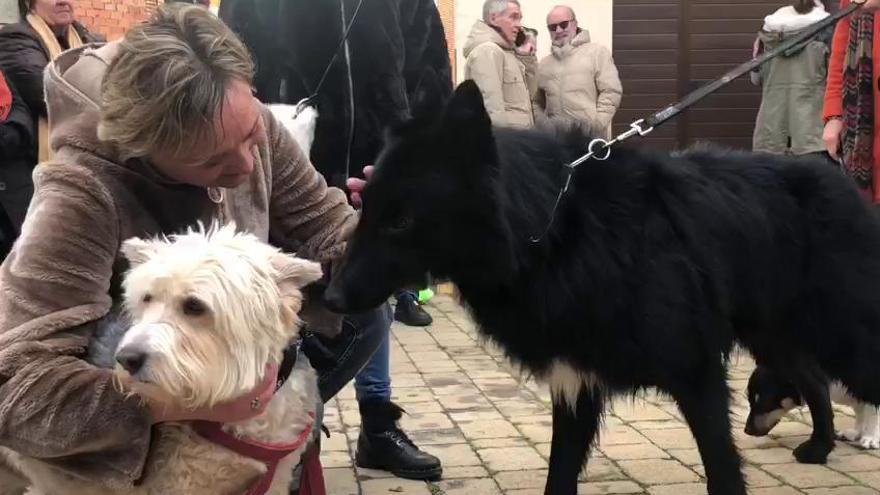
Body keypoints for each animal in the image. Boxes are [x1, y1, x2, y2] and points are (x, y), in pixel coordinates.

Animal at [324, 79, 880, 494]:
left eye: (401, 221)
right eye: (364, 207)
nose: (329, 299)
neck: (555, 232)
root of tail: (839, 178)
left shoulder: (697, 375)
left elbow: (722, 472)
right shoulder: (576, 386)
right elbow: (559, 477)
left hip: (842, 341)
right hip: (777, 337)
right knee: (813, 383)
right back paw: (820, 448)